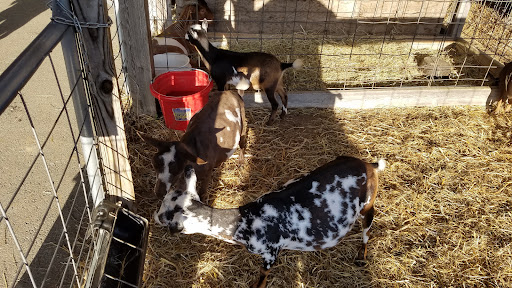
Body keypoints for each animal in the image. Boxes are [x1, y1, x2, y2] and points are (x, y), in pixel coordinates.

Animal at [154, 156, 386, 286]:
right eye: (173, 193)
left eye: (165, 214)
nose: (155, 217)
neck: (247, 220)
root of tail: (370, 165)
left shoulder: (270, 255)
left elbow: (261, 281)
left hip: (368, 205)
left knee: (367, 230)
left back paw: (361, 257)